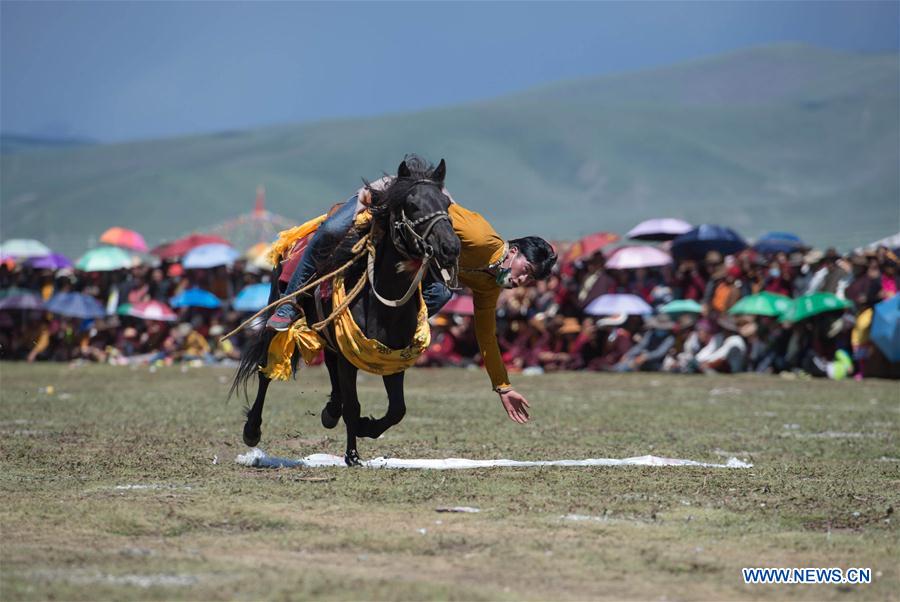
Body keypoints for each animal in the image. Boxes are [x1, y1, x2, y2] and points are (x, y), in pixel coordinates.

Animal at [229, 158, 460, 464]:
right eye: (411, 205)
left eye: (446, 203)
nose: (450, 247)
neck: (381, 297)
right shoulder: (353, 357)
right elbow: (354, 405)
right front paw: (352, 454)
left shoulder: (393, 356)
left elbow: (397, 409)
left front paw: (365, 427)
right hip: (277, 314)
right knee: (265, 369)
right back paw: (252, 430)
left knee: (330, 366)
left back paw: (330, 412)